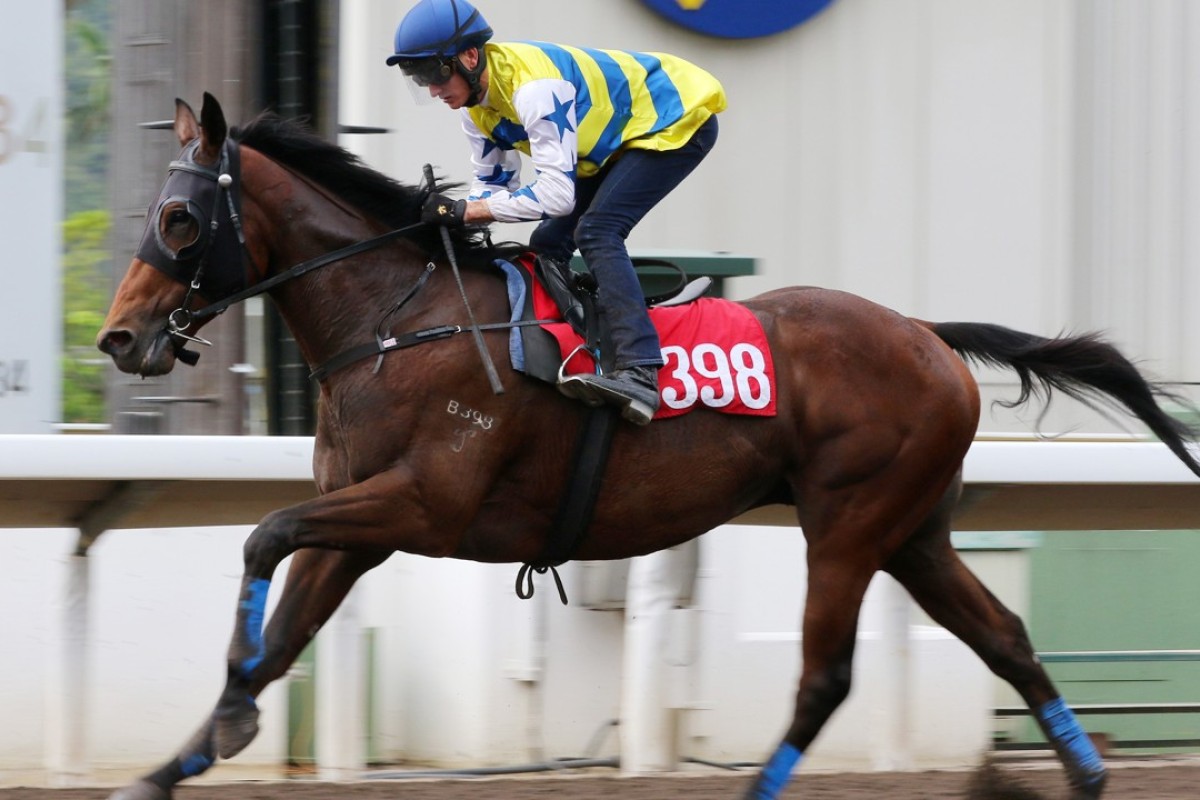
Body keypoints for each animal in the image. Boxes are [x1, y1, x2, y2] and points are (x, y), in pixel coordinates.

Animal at [98, 92, 1200, 796]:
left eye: (179, 217)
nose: (118, 337)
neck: (396, 321)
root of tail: (928, 333)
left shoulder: (423, 504)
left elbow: (264, 533)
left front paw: (222, 719)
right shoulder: (361, 526)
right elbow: (283, 627)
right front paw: (173, 761)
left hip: (849, 522)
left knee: (826, 677)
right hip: (914, 530)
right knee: (1005, 636)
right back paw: (1087, 775)